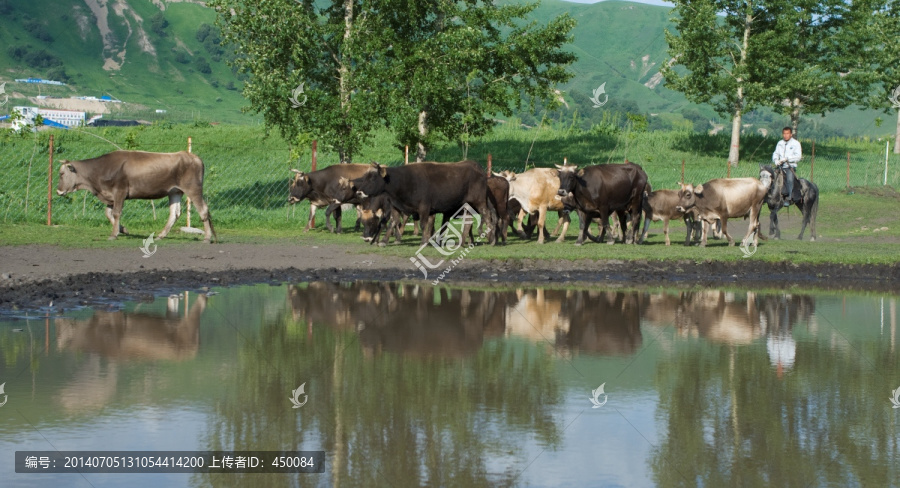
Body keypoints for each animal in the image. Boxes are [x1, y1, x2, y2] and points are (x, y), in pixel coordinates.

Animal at [57, 149, 217, 240]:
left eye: (61, 173)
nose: (58, 191)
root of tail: (193, 156)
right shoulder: (110, 196)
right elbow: (108, 213)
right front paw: (123, 230)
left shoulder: (120, 191)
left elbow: (116, 213)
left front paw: (114, 234)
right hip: (175, 191)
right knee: (175, 213)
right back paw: (161, 235)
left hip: (193, 188)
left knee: (203, 209)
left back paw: (207, 236)